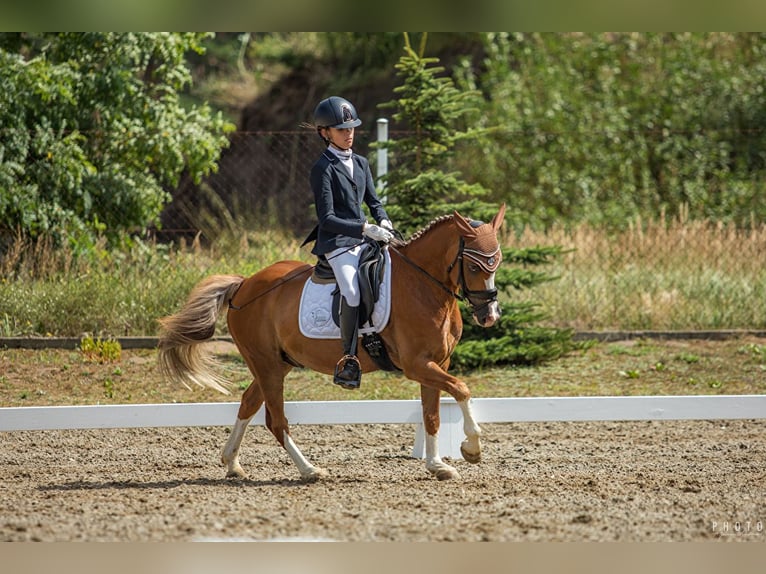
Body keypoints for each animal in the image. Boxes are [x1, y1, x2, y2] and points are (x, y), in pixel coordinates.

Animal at [159, 205, 508, 484]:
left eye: (498, 261)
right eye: (474, 266)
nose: (489, 316)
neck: (424, 285)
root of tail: (244, 285)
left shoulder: (437, 362)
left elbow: (432, 414)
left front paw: (437, 466)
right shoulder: (417, 365)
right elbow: (462, 389)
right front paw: (472, 448)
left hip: (276, 364)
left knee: (248, 403)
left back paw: (232, 463)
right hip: (266, 364)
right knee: (275, 419)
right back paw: (309, 470)